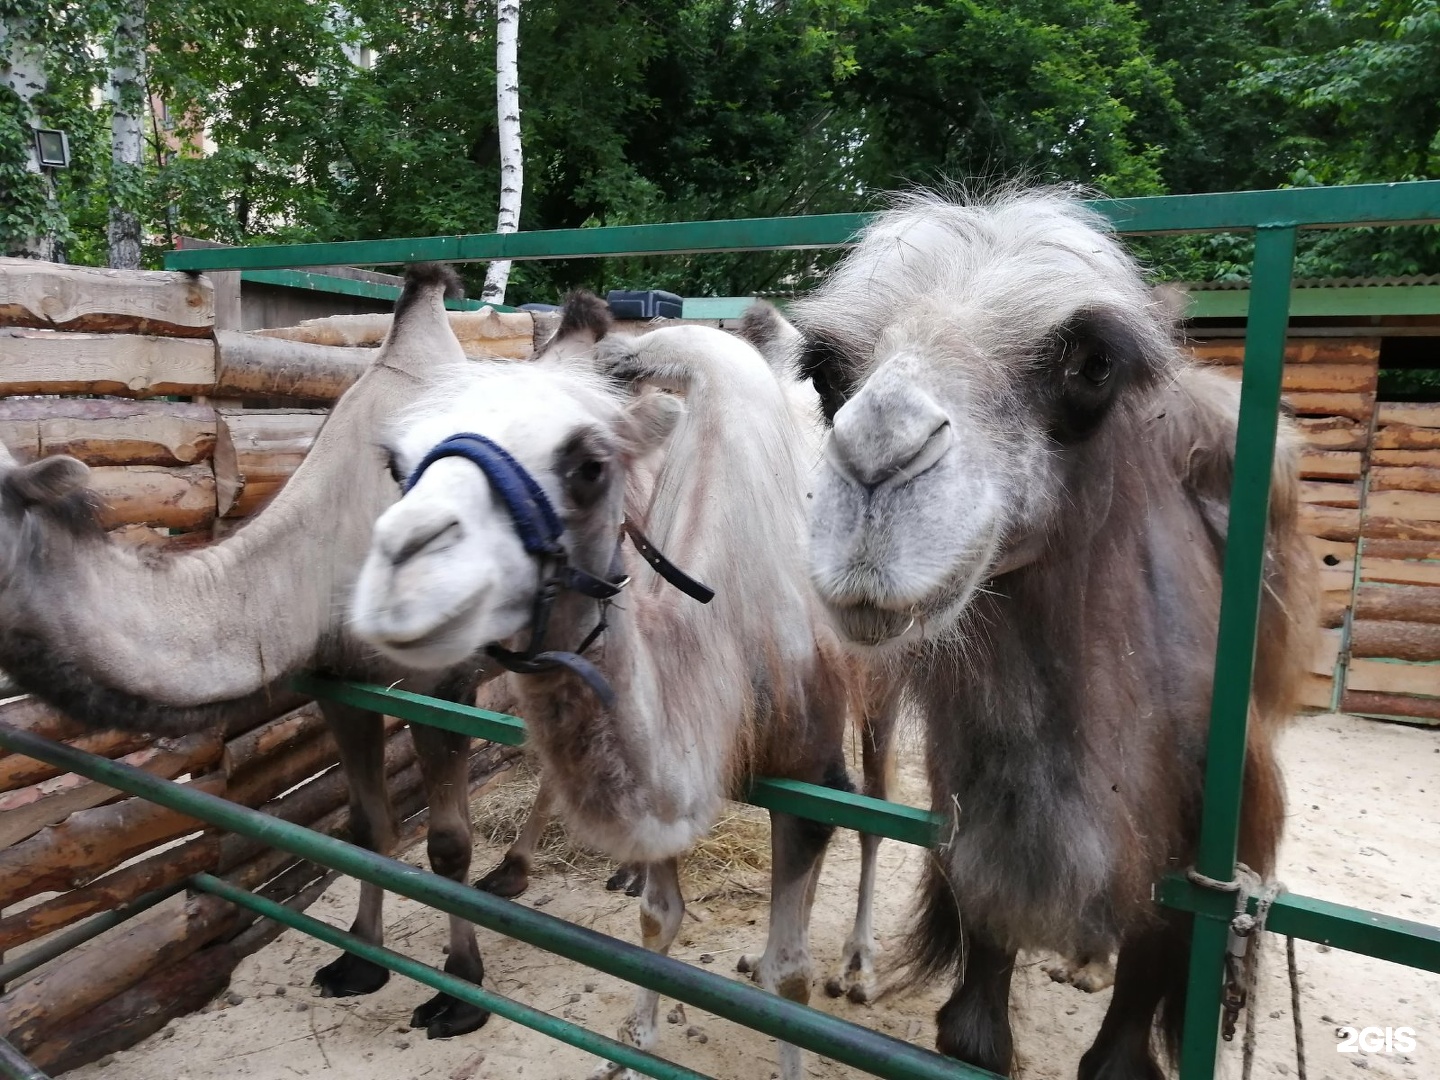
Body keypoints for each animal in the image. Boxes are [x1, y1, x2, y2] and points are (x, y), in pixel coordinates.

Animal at [0, 266, 527, 1036]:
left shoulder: (444, 686)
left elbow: (448, 846)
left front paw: (459, 994)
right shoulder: (341, 683)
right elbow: (366, 827)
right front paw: (358, 964)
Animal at [349, 298, 858, 1080]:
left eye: (589, 467)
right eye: (396, 463)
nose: (403, 570)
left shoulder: (810, 778)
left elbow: (791, 976)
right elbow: (657, 916)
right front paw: (636, 1038)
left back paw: (861, 967)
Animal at [789, 188, 1319, 1080]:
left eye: (1093, 363)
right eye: (825, 370)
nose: (875, 465)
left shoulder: (1179, 889)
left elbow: (1119, 1055)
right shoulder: (981, 866)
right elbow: (972, 1035)